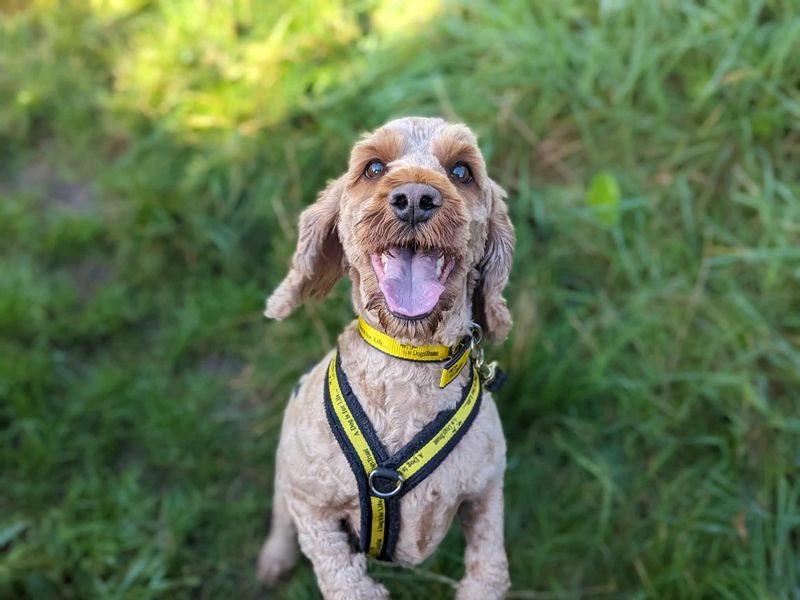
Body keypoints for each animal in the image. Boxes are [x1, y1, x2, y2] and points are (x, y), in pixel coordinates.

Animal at [260, 117, 516, 600]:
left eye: (462, 172)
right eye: (373, 167)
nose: (415, 198)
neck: (408, 361)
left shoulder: (486, 490)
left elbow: (489, 569)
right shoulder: (313, 503)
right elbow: (345, 578)